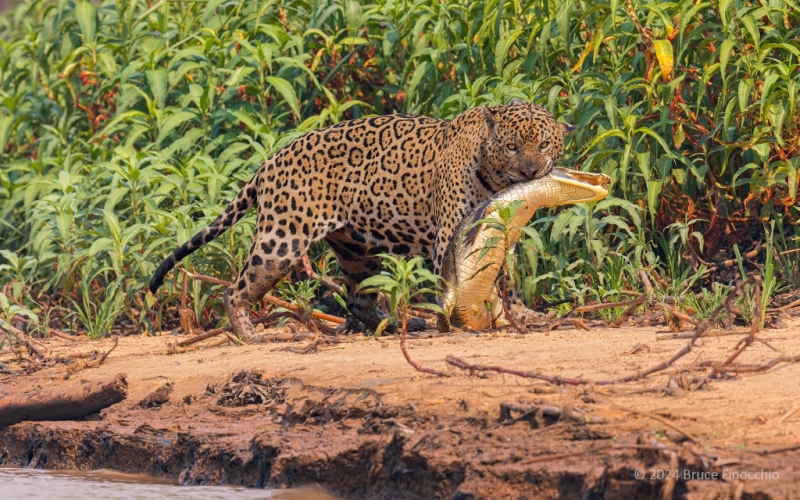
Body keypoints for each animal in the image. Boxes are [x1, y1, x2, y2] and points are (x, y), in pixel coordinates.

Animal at [149, 100, 577, 339]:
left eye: (544, 144)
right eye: (511, 146)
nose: (530, 172)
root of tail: (269, 162)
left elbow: (504, 275)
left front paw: (518, 314)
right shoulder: (449, 234)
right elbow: (456, 278)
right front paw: (461, 319)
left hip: (354, 248)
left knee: (356, 297)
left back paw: (398, 324)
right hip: (280, 240)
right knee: (235, 288)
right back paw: (251, 335)